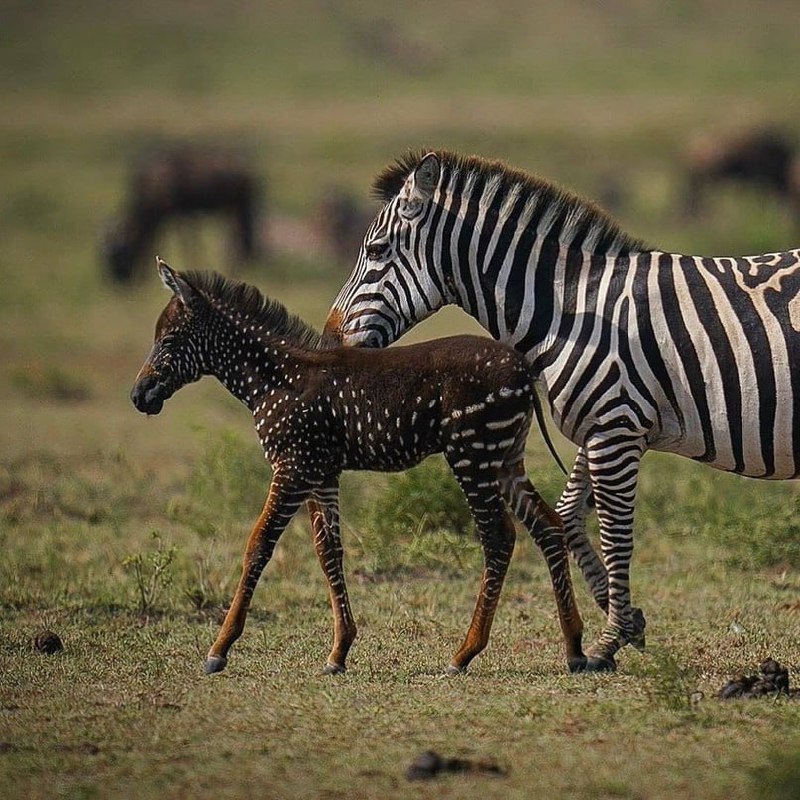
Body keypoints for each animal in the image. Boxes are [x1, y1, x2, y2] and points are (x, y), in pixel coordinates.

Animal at [130, 258, 580, 676]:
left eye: (168, 339)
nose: (138, 396)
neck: (273, 380)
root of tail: (522, 369)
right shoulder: (319, 472)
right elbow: (328, 550)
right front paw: (339, 650)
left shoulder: (291, 468)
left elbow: (258, 545)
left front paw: (219, 648)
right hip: (505, 458)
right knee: (549, 525)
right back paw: (574, 648)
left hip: (473, 454)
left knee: (499, 538)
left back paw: (464, 653)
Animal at [322, 148, 800, 668]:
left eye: (377, 250)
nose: (328, 341)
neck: (569, 310)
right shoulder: (602, 426)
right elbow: (568, 516)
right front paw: (627, 621)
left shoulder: (616, 427)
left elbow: (615, 534)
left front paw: (608, 640)